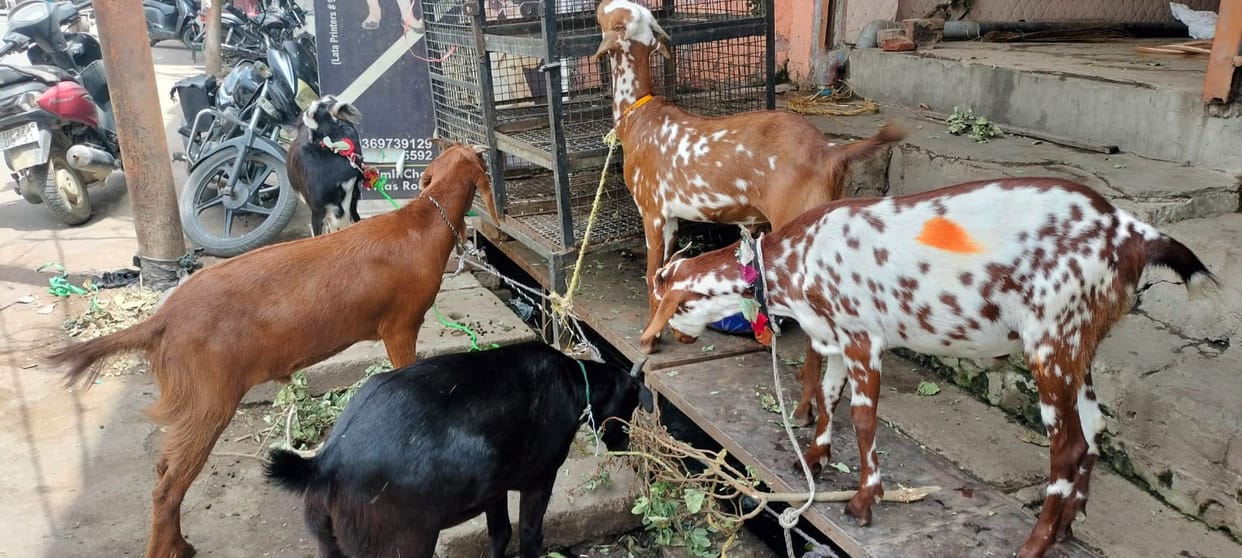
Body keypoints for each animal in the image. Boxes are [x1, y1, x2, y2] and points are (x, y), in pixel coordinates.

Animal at [44, 143, 500, 558]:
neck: (422, 223)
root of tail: (161, 321)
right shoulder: (400, 326)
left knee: (163, 469)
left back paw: (181, 543)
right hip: (209, 400)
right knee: (167, 488)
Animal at [265, 341, 653, 558]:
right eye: (631, 406)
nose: (625, 446)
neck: (574, 383)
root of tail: (327, 462)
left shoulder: (494, 487)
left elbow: (500, 533)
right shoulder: (540, 478)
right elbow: (530, 536)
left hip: (328, 541)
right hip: (399, 544)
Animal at [594, 0, 904, 428]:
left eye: (615, 13)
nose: (596, 6)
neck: (640, 119)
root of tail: (830, 155)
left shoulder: (652, 210)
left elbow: (650, 274)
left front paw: (651, 339)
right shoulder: (672, 218)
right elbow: (667, 273)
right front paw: (679, 333)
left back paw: (803, 409)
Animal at [638, 178, 1216, 558]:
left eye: (672, 306)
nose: (660, 341)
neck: (795, 261)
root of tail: (1134, 234)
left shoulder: (863, 339)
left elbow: (863, 420)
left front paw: (864, 500)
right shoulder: (833, 338)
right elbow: (826, 397)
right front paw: (815, 458)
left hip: (1050, 340)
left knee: (1069, 445)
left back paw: (1034, 544)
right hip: (1082, 343)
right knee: (1094, 428)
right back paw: (1069, 526)